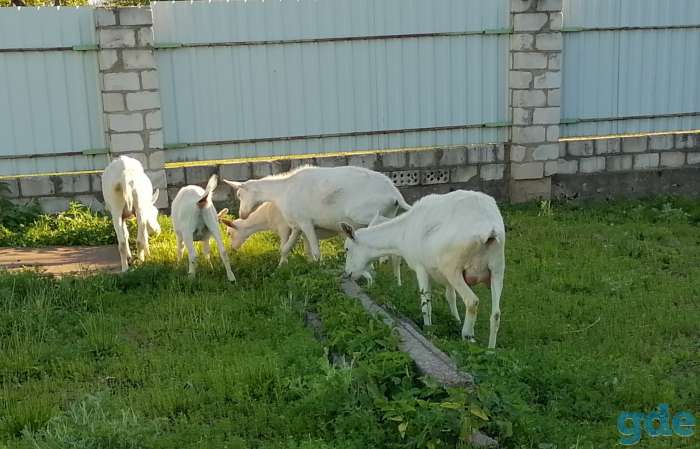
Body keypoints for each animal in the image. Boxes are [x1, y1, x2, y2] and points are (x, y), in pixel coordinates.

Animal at [222, 165, 411, 264]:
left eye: (239, 194)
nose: (242, 214)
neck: (283, 190)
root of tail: (394, 194)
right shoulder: (297, 225)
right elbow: (286, 248)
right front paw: (281, 267)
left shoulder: (306, 222)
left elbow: (315, 250)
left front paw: (319, 267)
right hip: (386, 212)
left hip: (364, 214)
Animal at [340, 190, 505, 348]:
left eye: (347, 249)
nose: (348, 273)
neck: (403, 233)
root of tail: (489, 231)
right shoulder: (444, 277)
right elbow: (450, 296)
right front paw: (455, 320)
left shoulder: (421, 268)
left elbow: (426, 302)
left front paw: (429, 330)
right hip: (497, 268)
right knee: (496, 314)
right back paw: (490, 350)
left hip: (453, 268)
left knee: (472, 301)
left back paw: (467, 337)